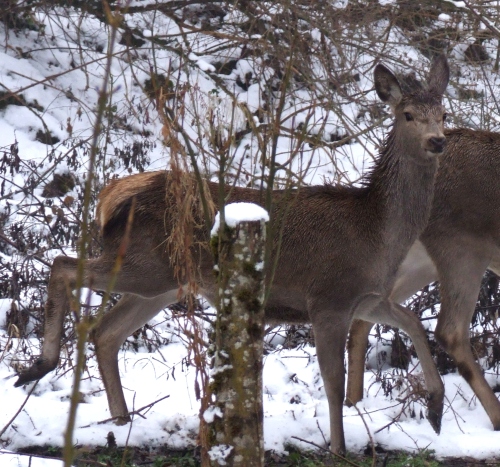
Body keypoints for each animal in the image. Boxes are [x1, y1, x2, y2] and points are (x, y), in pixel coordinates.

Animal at [14, 55, 450, 458]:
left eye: (444, 113)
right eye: (408, 115)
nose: (438, 141)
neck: (376, 234)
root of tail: (109, 197)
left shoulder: (367, 298)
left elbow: (413, 321)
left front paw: (435, 408)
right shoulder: (329, 298)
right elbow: (333, 381)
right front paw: (338, 449)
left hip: (162, 284)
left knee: (105, 331)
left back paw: (121, 422)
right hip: (146, 267)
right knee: (63, 266)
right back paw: (41, 366)